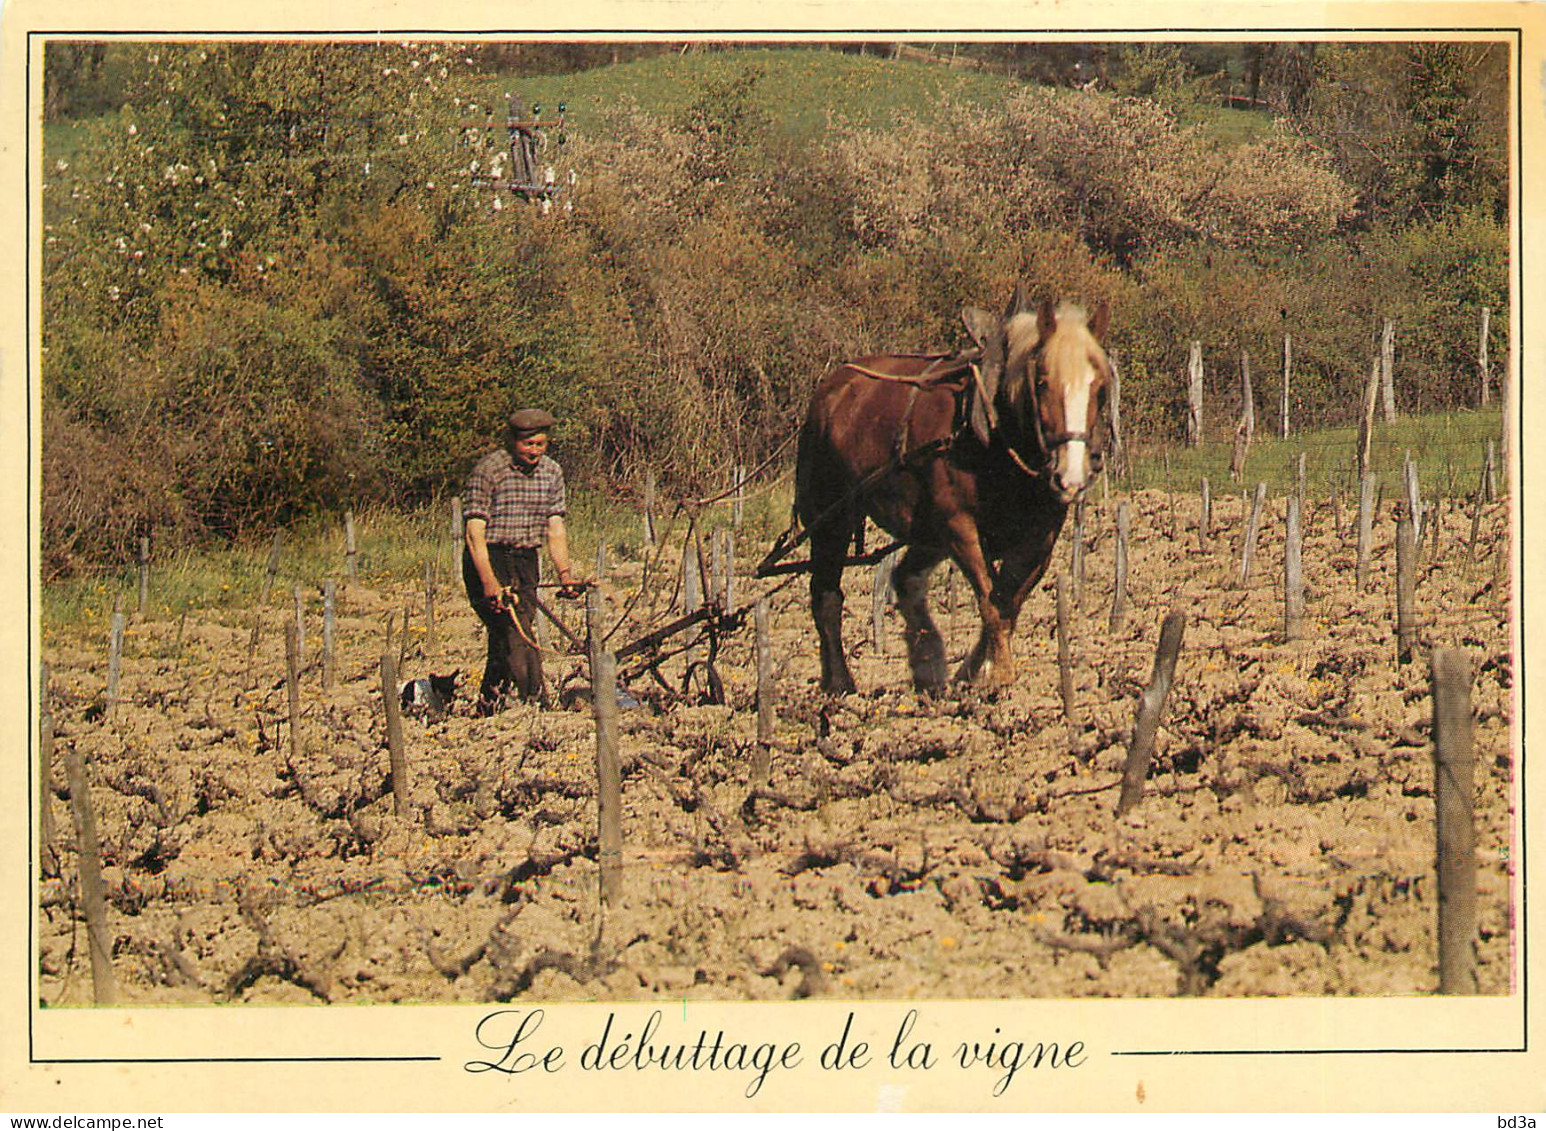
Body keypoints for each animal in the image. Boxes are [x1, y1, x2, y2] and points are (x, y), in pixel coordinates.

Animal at [797, 284, 1113, 689]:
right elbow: (991, 601)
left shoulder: (1041, 535)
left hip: (925, 532)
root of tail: (833, 387)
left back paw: (927, 669)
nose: (1071, 478)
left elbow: (1009, 602)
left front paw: (974, 673)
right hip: (829, 518)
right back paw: (839, 683)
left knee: (905, 580)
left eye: (1100, 387)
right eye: (1042, 383)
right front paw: (1000, 676)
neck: (994, 434)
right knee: (827, 596)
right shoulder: (960, 527)